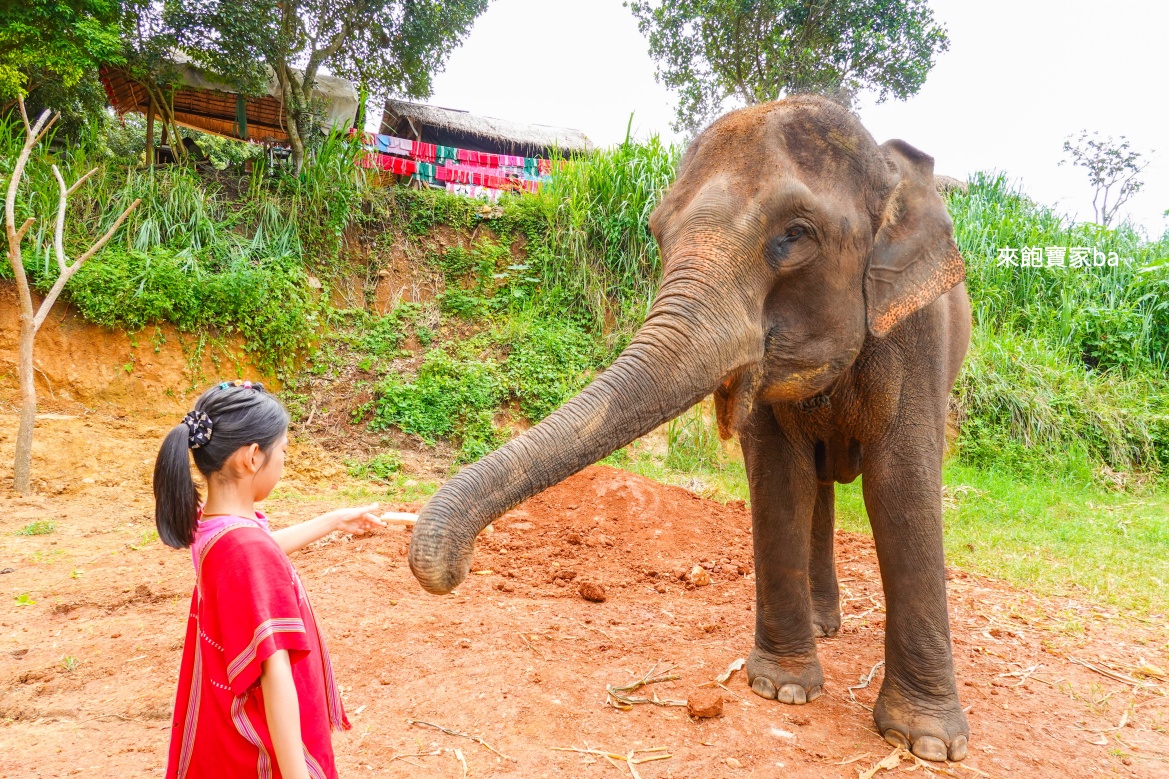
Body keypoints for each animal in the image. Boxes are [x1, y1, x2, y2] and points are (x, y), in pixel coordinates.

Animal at [408, 94, 972, 763]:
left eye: (794, 235)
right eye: (657, 231)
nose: (452, 570)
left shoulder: (919, 335)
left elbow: (903, 487)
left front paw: (927, 744)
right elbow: (779, 480)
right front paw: (782, 692)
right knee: (816, 484)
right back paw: (822, 626)